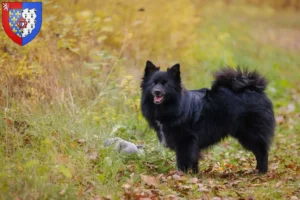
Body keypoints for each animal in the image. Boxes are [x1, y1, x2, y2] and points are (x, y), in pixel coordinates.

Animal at [141, 60, 274, 173]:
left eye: (166, 84)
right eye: (153, 83)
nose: (157, 91)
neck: (175, 106)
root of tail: (254, 88)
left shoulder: (185, 141)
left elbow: (183, 161)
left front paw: (180, 175)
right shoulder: (193, 144)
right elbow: (194, 160)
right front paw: (194, 174)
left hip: (250, 134)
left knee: (262, 152)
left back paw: (261, 172)